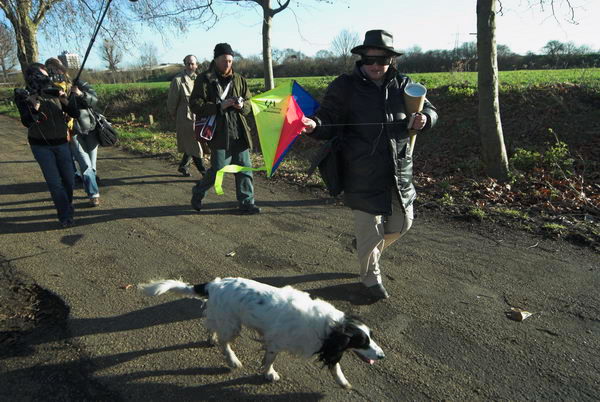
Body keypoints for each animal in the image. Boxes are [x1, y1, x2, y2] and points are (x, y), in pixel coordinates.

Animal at [138, 278, 384, 388]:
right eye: (362, 341)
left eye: (371, 337)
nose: (382, 356)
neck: (329, 325)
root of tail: (214, 284)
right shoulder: (275, 343)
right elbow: (269, 361)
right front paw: (269, 374)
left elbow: (336, 365)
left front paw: (342, 381)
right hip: (233, 325)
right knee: (225, 343)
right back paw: (232, 360)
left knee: (212, 328)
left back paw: (211, 339)